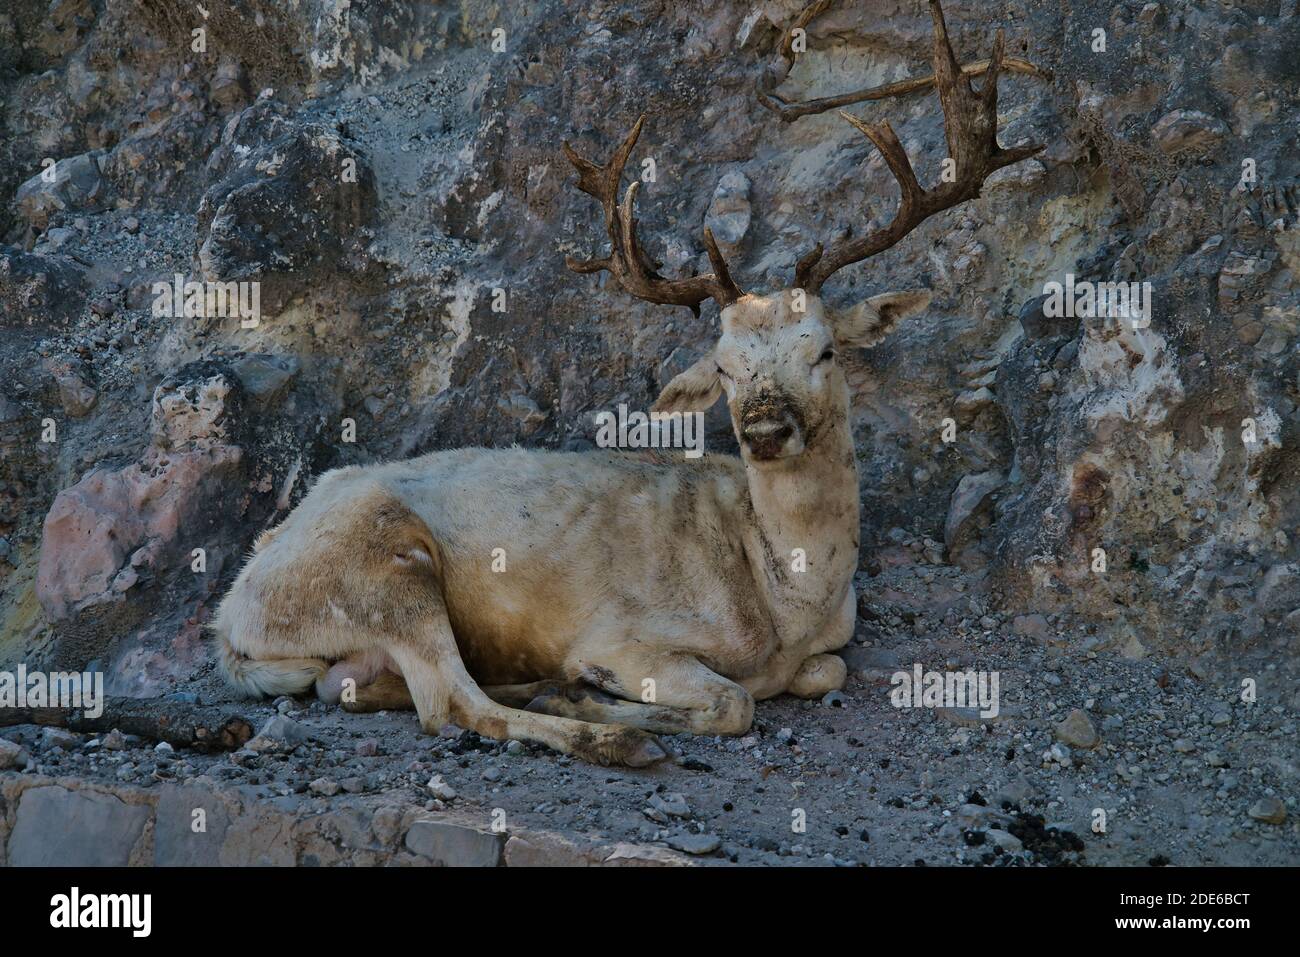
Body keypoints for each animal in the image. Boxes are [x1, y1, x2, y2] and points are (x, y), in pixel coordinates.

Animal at [213, 0, 1045, 764]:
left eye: (825, 352)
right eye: (724, 366)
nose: (765, 430)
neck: (785, 603)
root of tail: (232, 616)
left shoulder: (817, 647)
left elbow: (824, 670)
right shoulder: (627, 631)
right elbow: (735, 699)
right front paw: (596, 690)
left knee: (359, 685)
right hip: (385, 567)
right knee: (452, 702)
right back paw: (605, 731)